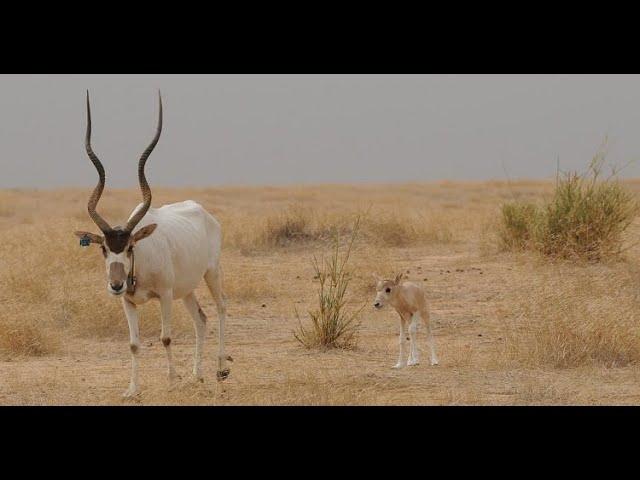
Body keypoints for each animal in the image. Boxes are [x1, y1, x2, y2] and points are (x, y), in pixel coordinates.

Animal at [75, 91, 230, 398]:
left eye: (129, 247)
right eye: (104, 248)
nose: (116, 285)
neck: (140, 265)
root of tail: (203, 212)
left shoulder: (166, 296)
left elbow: (166, 337)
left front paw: (171, 382)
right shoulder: (127, 302)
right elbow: (134, 344)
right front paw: (132, 390)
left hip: (211, 273)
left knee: (220, 308)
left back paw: (220, 370)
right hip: (187, 289)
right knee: (201, 318)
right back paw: (197, 375)